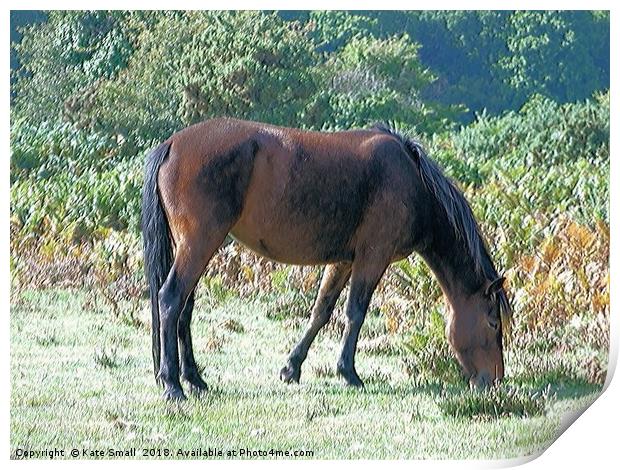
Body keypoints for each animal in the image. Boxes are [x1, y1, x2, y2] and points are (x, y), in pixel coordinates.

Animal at [143, 117, 512, 400]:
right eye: (493, 323)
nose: (494, 380)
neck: (412, 179)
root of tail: (173, 144)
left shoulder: (344, 261)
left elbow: (321, 311)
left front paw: (292, 368)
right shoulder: (372, 257)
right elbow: (355, 313)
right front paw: (348, 373)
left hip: (196, 247)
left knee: (184, 308)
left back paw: (194, 378)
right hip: (200, 243)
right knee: (170, 299)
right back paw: (173, 384)